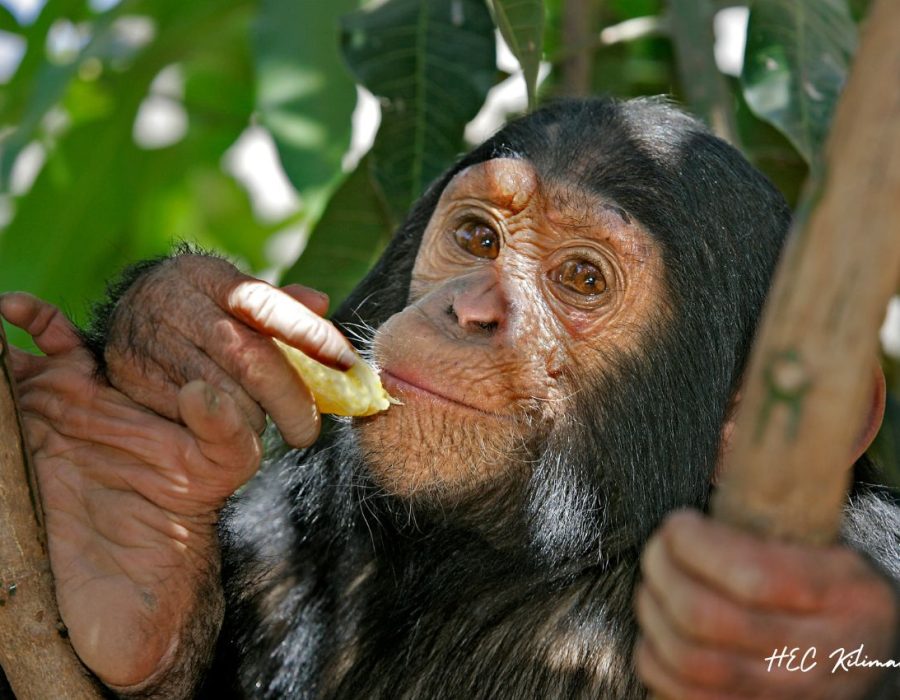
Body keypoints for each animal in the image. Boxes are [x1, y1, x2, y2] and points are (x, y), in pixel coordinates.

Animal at [5, 95, 900, 696]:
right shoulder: (279, 545)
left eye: (583, 279)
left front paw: (793, 637)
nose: (471, 309)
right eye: (476, 238)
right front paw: (177, 347)